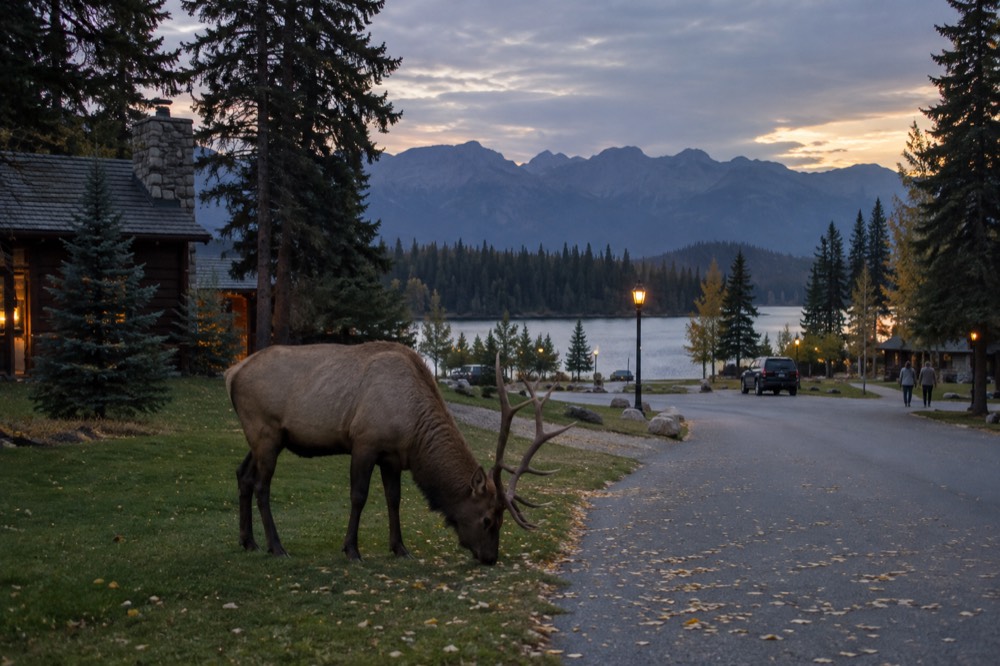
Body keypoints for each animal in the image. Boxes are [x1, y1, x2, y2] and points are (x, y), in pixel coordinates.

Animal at [224, 341, 572, 565]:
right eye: (488, 519)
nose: (490, 558)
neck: (414, 432)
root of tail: (231, 374)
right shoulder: (364, 442)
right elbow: (359, 496)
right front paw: (352, 550)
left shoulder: (392, 457)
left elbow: (394, 499)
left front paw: (400, 548)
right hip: (265, 430)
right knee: (262, 485)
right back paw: (276, 546)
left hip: (264, 438)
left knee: (242, 475)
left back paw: (248, 541)